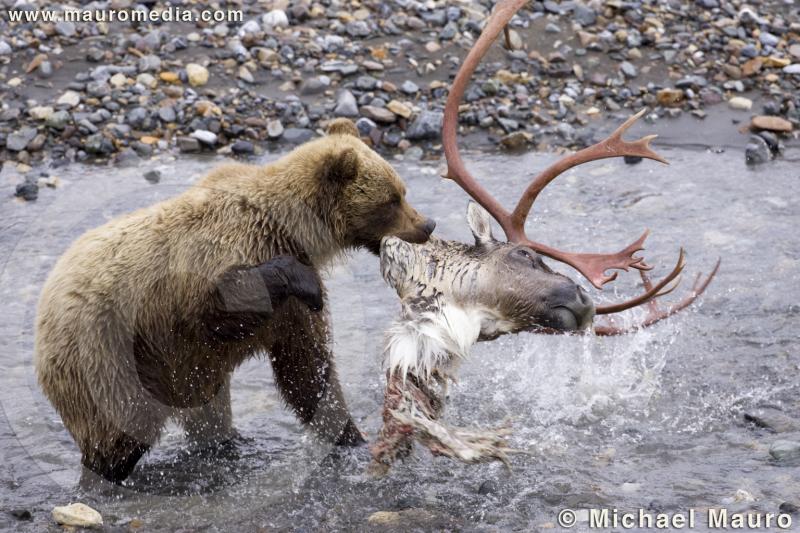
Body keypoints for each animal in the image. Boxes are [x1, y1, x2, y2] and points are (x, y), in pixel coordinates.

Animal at [34, 118, 434, 480]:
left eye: (402, 190)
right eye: (392, 199)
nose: (427, 225)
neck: (294, 232)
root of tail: (43, 313)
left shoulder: (290, 313)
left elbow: (307, 368)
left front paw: (350, 436)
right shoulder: (213, 264)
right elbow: (222, 306)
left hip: (180, 370)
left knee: (208, 413)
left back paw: (229, 444)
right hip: (106, 359)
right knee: (120, 430)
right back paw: (106, 473)